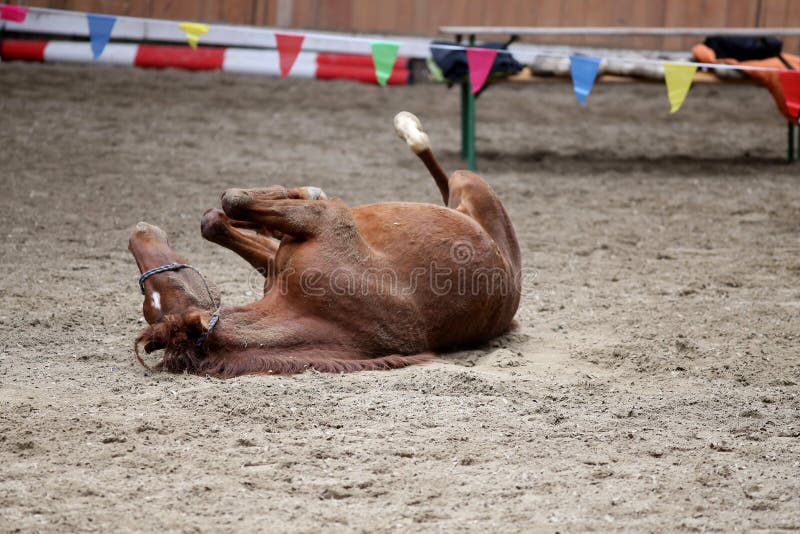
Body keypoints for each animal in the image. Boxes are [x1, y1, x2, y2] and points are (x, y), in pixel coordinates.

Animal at [129, 111, 520, 378]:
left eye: (165, 285)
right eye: (150, 298)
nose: (138, 234)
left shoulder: (326, 218)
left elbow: (232, 201)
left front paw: (301, 191)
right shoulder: (283, 257)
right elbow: (217, 218)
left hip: (469, 183)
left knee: (441, 169)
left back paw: (409, 129)